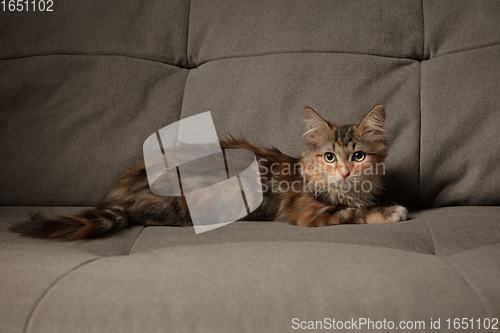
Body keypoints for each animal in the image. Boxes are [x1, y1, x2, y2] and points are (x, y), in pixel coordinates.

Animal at [10, 104, 406, 239]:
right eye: (329, 157)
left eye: (358, 156)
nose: (345, 173)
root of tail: (120, 192)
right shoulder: (308, 211)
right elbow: (354, 212)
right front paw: (391, 211)